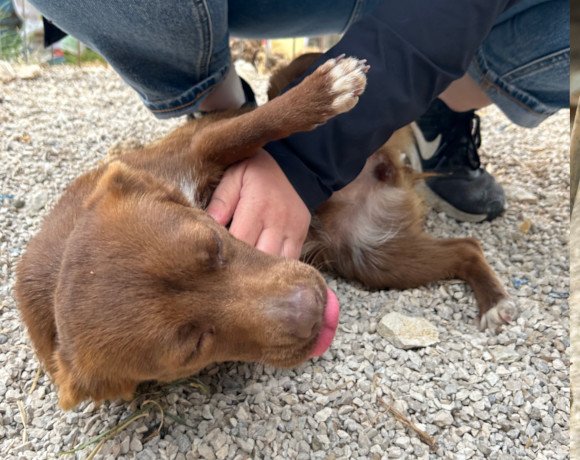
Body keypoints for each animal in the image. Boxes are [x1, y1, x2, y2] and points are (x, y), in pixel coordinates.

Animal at [15, 54, 516, 410]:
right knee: (465, 248)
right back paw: (494, 302)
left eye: (215, 244)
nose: (312, 309)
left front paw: (326, 90)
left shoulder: (196, 149)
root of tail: (390, 170)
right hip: (376, 260)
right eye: (193, 346)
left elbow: (254, 124)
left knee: (280, 86)